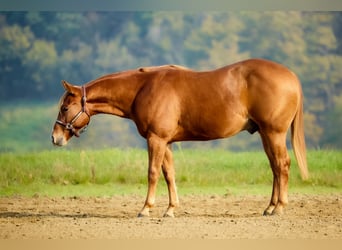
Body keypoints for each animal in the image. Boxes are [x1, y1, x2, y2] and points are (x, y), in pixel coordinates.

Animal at [52, 58, 308, 217]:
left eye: (65, 108)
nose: (55, 138)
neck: (143, 88)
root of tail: (291, 77)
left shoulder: (156, 139)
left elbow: (153, 174)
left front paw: (146, 209)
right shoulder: (166, 142)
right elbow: (169, 175)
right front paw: (171, 209)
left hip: (274, 133)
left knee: (282, 165)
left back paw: (279, 207)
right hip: (266, 134)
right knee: (275, 168)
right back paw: (270, 207)